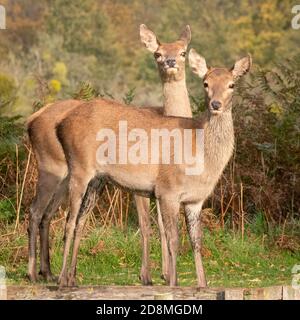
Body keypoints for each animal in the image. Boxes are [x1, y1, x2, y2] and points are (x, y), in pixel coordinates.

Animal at [27, 25, 192, 284]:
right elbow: (147, 224)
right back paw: (35, 272)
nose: (171, 62)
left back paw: (51, 272)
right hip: (50, 167)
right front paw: (147, 275)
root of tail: (31, 120)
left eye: (184, 51)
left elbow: (162, 225)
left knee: (49, 214)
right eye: (158, 53)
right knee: (36, 211)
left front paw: (165, 274)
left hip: (69, 177)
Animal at [55, 48, 251, 288]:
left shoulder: (195, 200)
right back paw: (61, 278)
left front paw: (202, 285)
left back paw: (72, 278)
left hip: (97, 179)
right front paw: (173, 283)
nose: (215, 104)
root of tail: (60, 125)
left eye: (232, 84)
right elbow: (173, 240)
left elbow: (196, 242)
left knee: (81, 220)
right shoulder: (167, 190)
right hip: (79, 167)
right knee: (69, 221)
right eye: (205, 83)